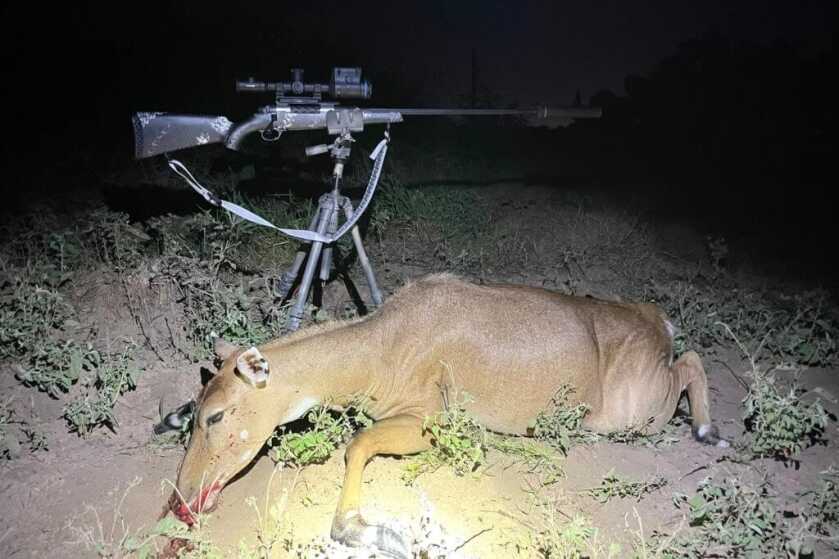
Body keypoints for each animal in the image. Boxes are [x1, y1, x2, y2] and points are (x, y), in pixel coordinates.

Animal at [164, 274, 727, 557]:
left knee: (692, 360)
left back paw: (709, 431)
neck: (379, 347)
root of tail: (658, 320)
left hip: (635, 412)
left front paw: (372, 532)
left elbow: (357, 444)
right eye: (197, 414)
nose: (181, 500)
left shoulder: (428, 423)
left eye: (216, 417)